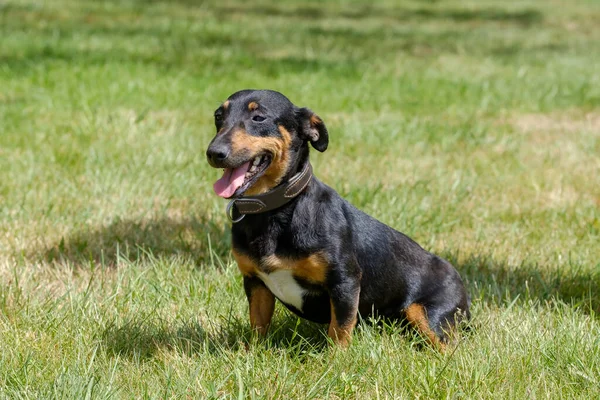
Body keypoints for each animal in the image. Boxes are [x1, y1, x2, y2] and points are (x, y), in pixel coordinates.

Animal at [206, 89, 468, 348]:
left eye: (258, 117)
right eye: (218, 116)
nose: (213, 153)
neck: (275, 211)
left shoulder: (345, 281)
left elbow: (340, 329)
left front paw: (337, 358)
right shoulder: (255, 282)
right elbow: (258, 325)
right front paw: (253, 352)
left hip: (430, 315)